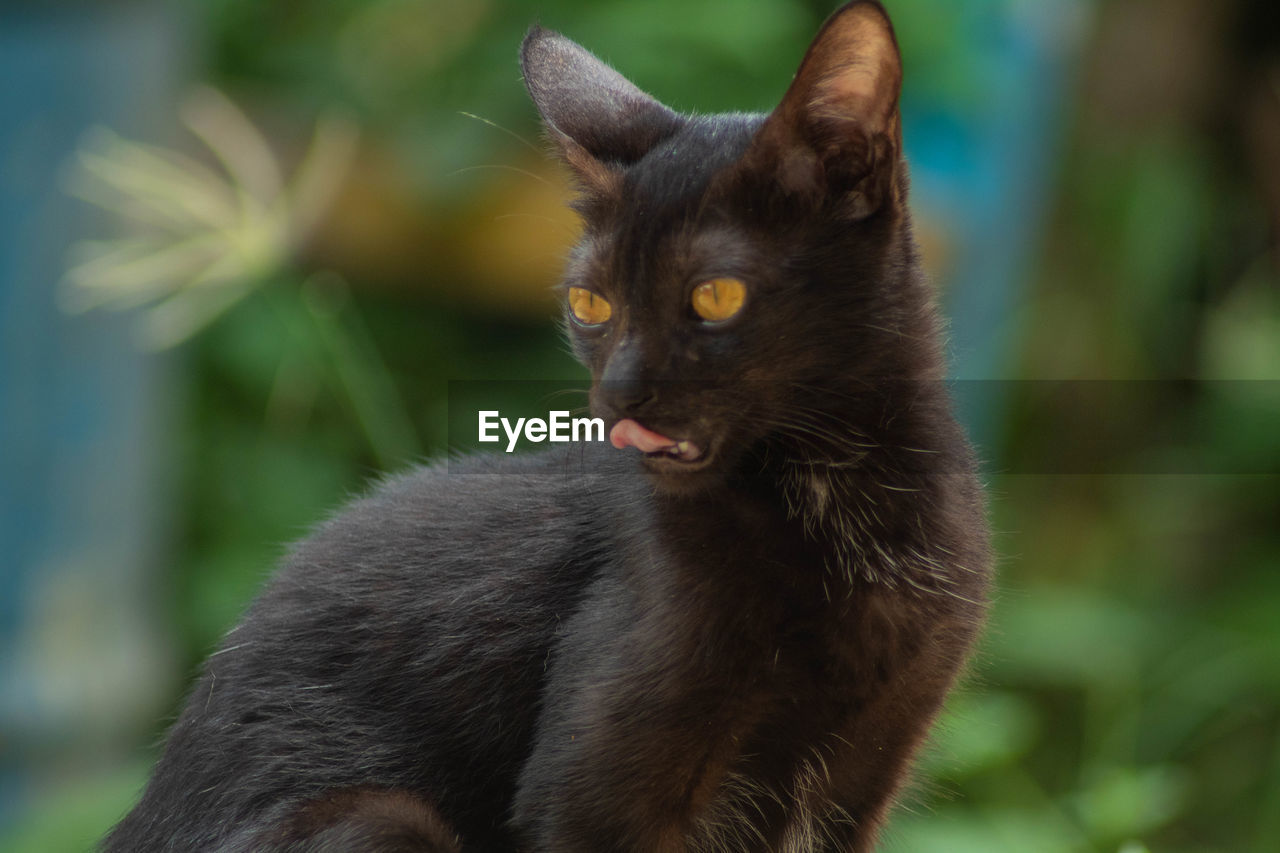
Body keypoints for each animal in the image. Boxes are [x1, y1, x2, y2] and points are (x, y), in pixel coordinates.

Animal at [104, 3, 993, 845]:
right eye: (590, 303)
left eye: (715, 296)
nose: (621, 393)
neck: (837, 496)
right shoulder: (593, 797)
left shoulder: (864, 770)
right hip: (380, 816)